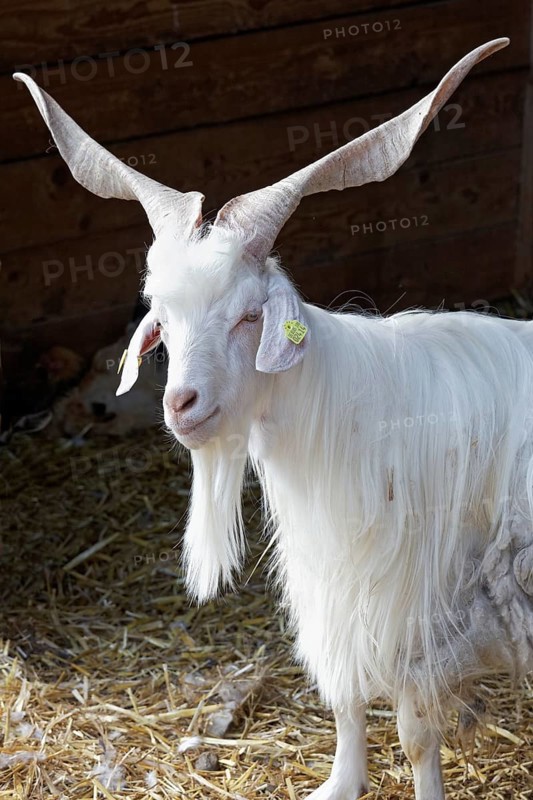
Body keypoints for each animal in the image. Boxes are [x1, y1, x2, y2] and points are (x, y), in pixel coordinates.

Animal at [16, 38, 533, 800]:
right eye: (162, 321)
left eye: (248, 316)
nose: (180, 404)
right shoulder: (335, 586)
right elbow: (344, 700)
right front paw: (339, 782)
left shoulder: (413, 609)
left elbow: (415, 738)